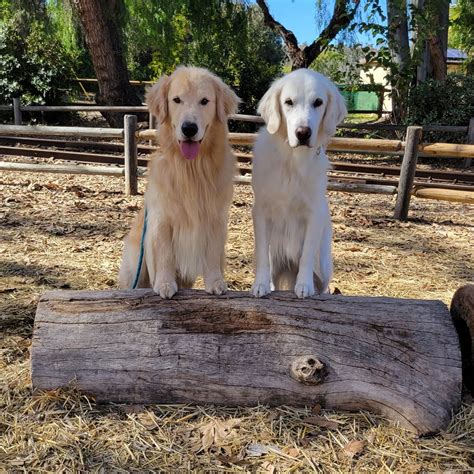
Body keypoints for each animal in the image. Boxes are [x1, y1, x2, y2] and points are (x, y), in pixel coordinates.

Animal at [117, 66, 239, 298]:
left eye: (204, 101)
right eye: (176, 100)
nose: (189, 128)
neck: (192, 169)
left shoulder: (216, 218)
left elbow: (213, 254)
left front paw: (215, 282)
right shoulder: (162, 219)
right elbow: (164, 254)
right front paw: (165, 284)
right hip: (134, 262)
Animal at [250, 68, 346, 298]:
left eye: (318, 102)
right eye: (288, 102)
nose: (303, 133)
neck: (292, 160)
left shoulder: (315, 213)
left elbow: (306, 255)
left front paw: (304, 285)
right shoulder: (260, 210)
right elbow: (262, 254)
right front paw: (260, 284)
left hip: (324, 266)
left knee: (323, 284)